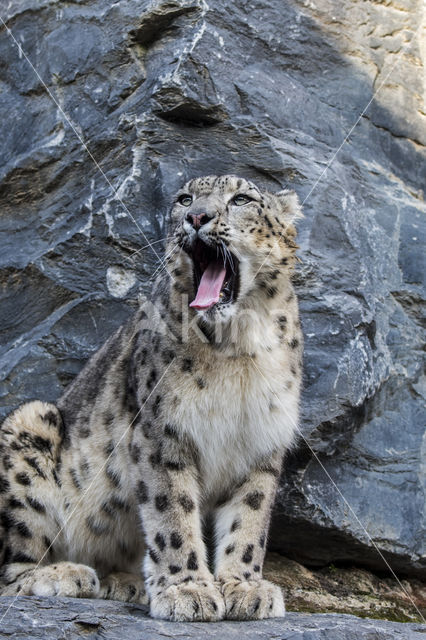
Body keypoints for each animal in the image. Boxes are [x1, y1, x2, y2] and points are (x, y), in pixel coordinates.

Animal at [0, 174, 302, 620]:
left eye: (241, 199)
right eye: (185, 199)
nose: (197, 217)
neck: (238, 349)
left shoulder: (262, 442)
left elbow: (250, 520)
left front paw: (245, 587)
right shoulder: (162, 432)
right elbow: (171, 512)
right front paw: (188, 591)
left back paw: (123, 583)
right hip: (27, 427)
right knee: (11, 567)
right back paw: (65, 575)